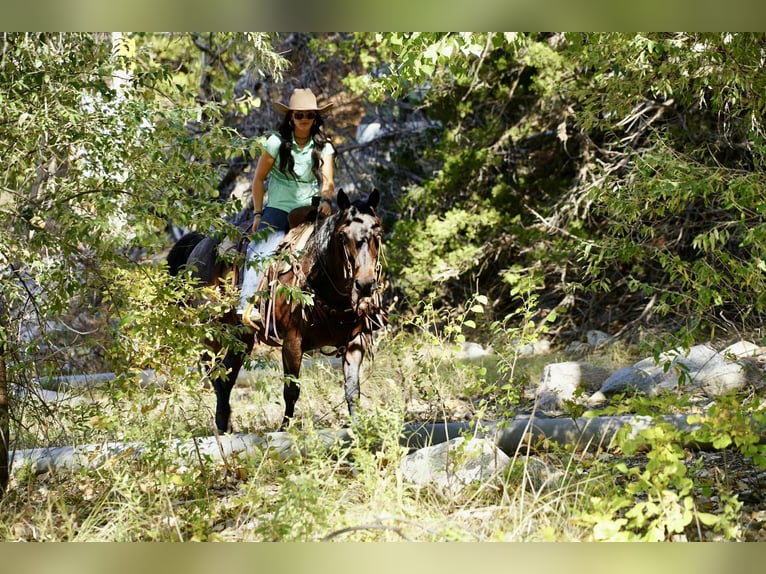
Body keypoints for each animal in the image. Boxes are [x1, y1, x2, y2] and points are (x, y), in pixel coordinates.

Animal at [166, 189, 385, 433]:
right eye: (342, 236)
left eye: (378, 232)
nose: (365, 284)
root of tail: (200, 245)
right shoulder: (292, 341)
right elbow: (291, 390)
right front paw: (285, 430)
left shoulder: (355, 341)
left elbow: (352, 389)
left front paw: (359, 428)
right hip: (211, 332)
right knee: (213, 369)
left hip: (242, 338)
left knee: (226, 375)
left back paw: (226, 425)